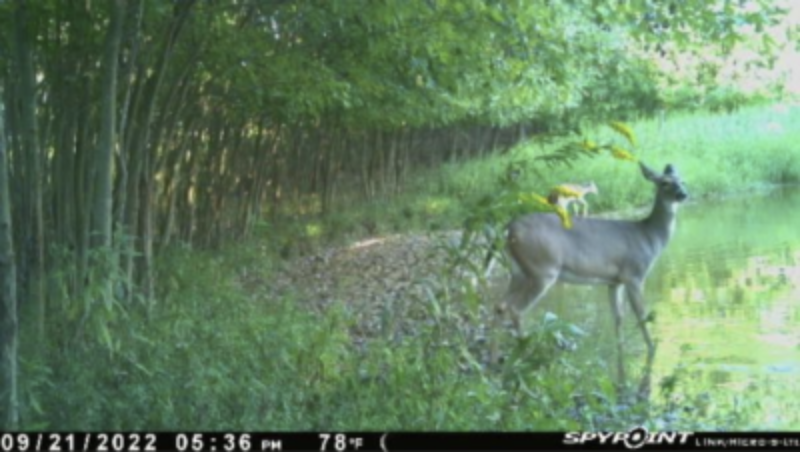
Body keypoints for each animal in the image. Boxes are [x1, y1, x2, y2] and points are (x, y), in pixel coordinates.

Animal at [498, 162, 688, 382]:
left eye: (683, 180)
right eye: (664, 183)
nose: (683, 194)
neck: (649, 237)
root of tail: (509, 229)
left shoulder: (614, 281)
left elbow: (618, 317)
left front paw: (620, 349)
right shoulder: (635, 274)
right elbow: (642, 315)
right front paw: (652, 348)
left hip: (518, 272)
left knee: (501, 305)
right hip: (543, 270)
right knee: (517, 308)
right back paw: (526, 353)